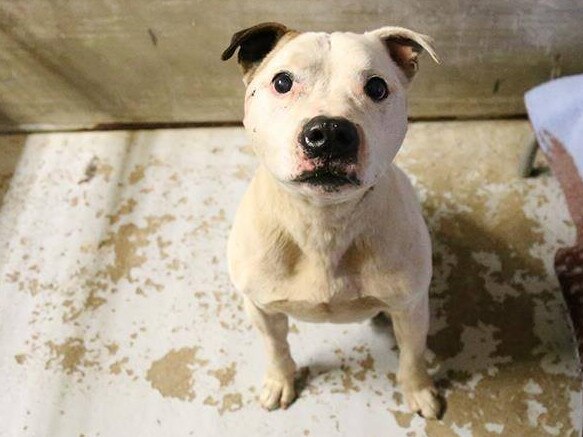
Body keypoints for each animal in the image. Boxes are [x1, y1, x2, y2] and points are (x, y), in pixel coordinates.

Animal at [224, 22, 442, 418]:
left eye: (377, 87)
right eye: (282, 82)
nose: (330, 133)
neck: (322, 222)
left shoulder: (411, 307)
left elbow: (413, 353)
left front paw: (418, 388)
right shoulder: (261, 309)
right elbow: (276, 348)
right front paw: (280, 380)